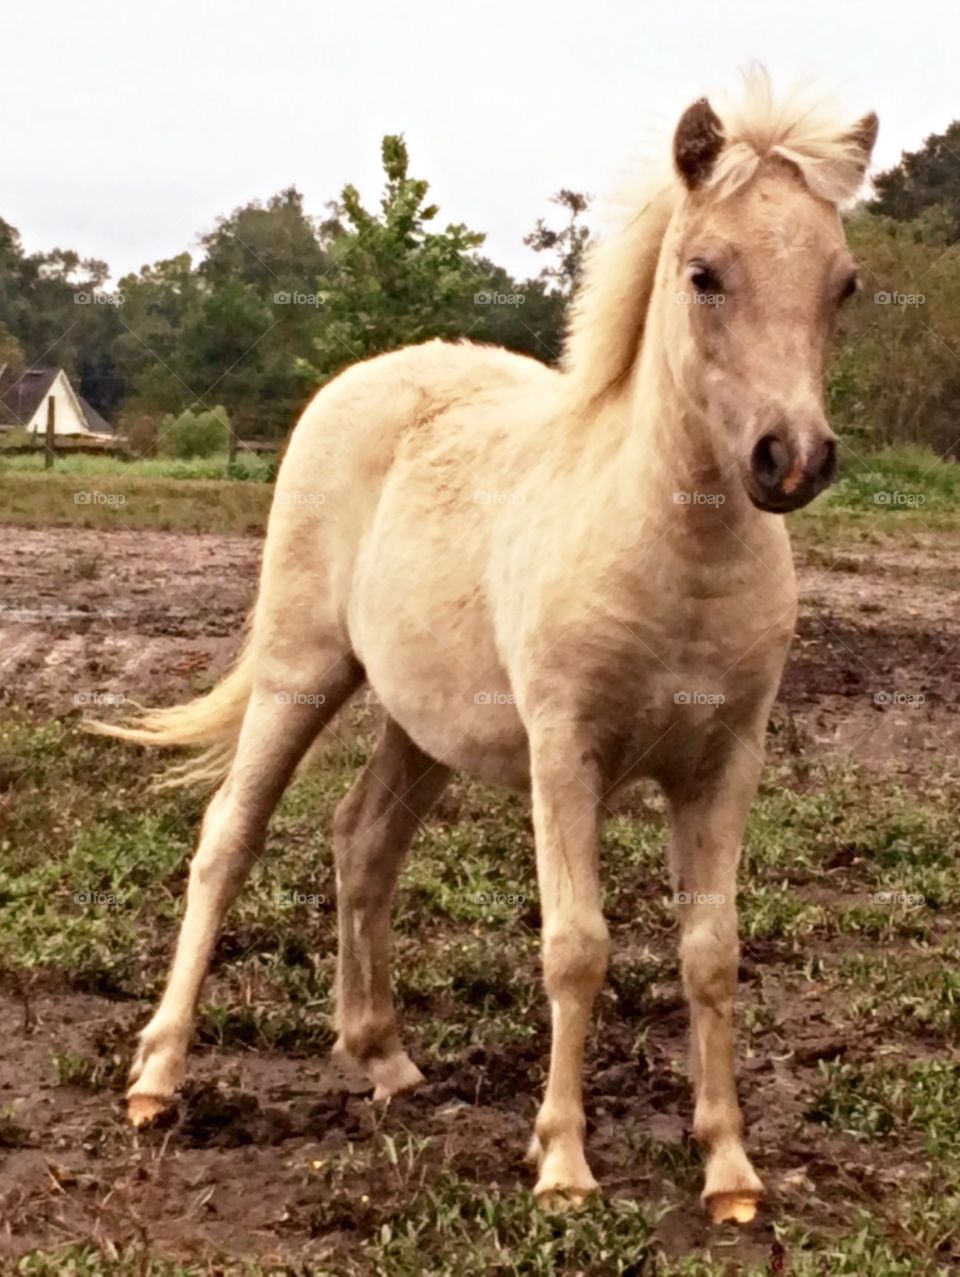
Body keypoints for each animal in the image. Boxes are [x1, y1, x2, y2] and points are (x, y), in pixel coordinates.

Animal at [95, 72, 878, 1225]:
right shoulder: (567, 754)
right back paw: (156, 1076)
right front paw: (563, 1163)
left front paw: (730, 1171)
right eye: (704, 274)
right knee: (227, 837)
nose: (791, 458)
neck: (672, 552)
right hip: (301, 672)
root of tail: (360, 379)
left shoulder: (724, 764)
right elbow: (576, 948)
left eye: (844, 283)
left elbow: (712, 953)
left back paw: (380, 1054)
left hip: (422, 722)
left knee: (362, 838)